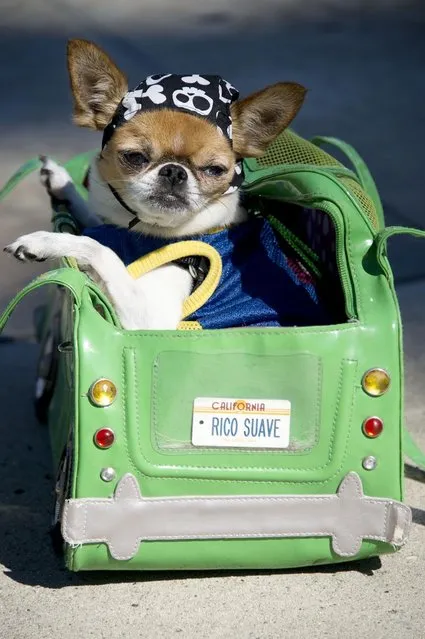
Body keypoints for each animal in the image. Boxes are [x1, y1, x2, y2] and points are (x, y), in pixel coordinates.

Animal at [4, 39, 318, 330]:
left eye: (215, 170)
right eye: (135, 157)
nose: (175, 172)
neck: (145, 231)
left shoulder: (149, 321)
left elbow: (99, 249)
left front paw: (43, 242)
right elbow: (94, 221)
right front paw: (61, 180)